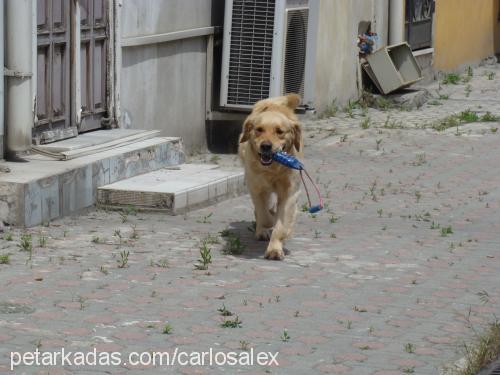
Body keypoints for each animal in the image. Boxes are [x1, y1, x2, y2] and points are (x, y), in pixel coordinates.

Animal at [237, 94, 302, 260]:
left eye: (280, 131)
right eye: (259, 130)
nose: (266, 146)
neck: (272, 169)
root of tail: (272, 102)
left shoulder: (290, 192)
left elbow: (282, 224)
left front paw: (275, 249)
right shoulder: (256, 188)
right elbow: (264, 215)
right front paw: (268, 222)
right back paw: (262, 230)